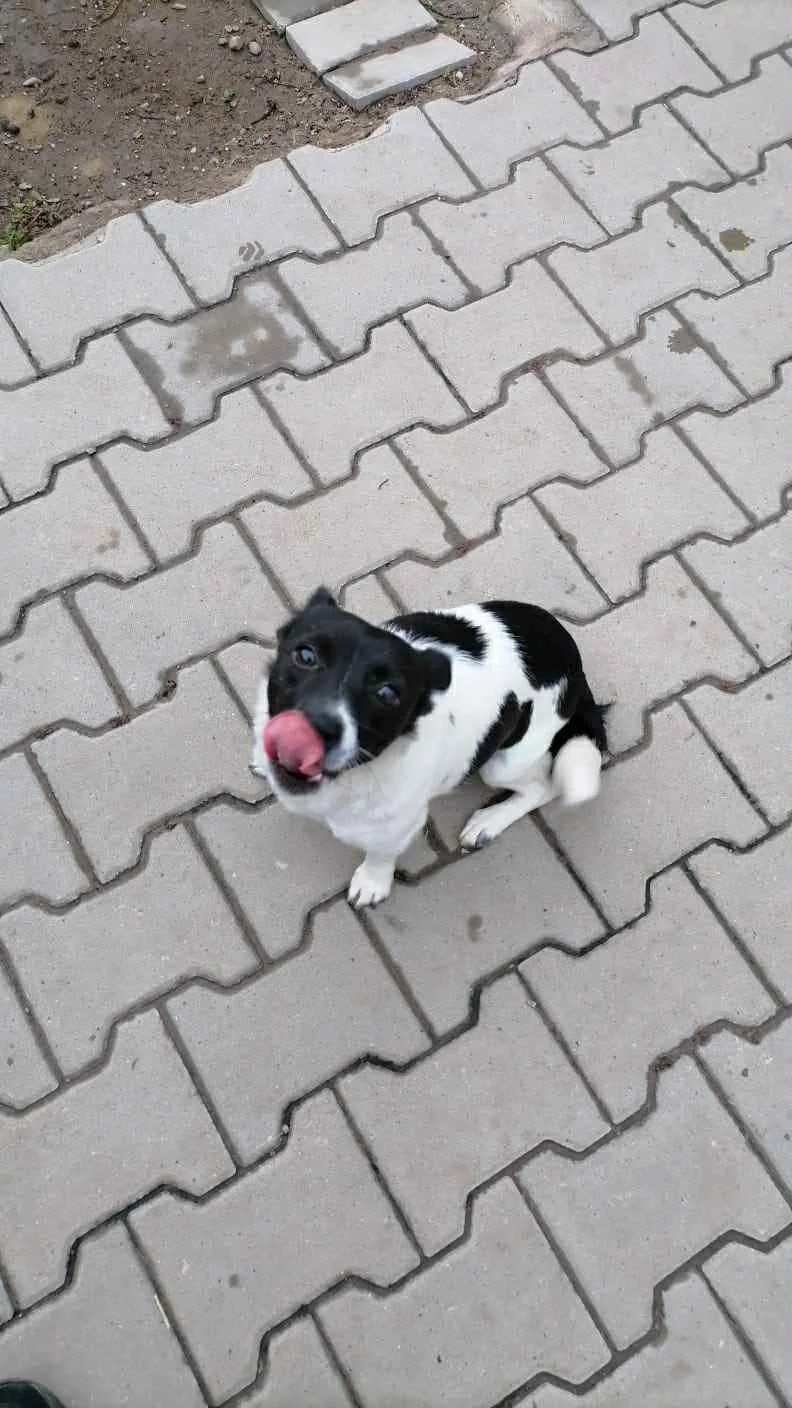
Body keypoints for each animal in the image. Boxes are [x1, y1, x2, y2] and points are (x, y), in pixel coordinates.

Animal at [251, 588, 607, 908]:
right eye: (305, 656)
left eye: (388, 693)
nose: (314, 731)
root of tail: (575, 667)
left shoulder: (397, 827)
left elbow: (380, 855)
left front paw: (372, 882)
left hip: (501, 764)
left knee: (543, 786)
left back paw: (489, 821)